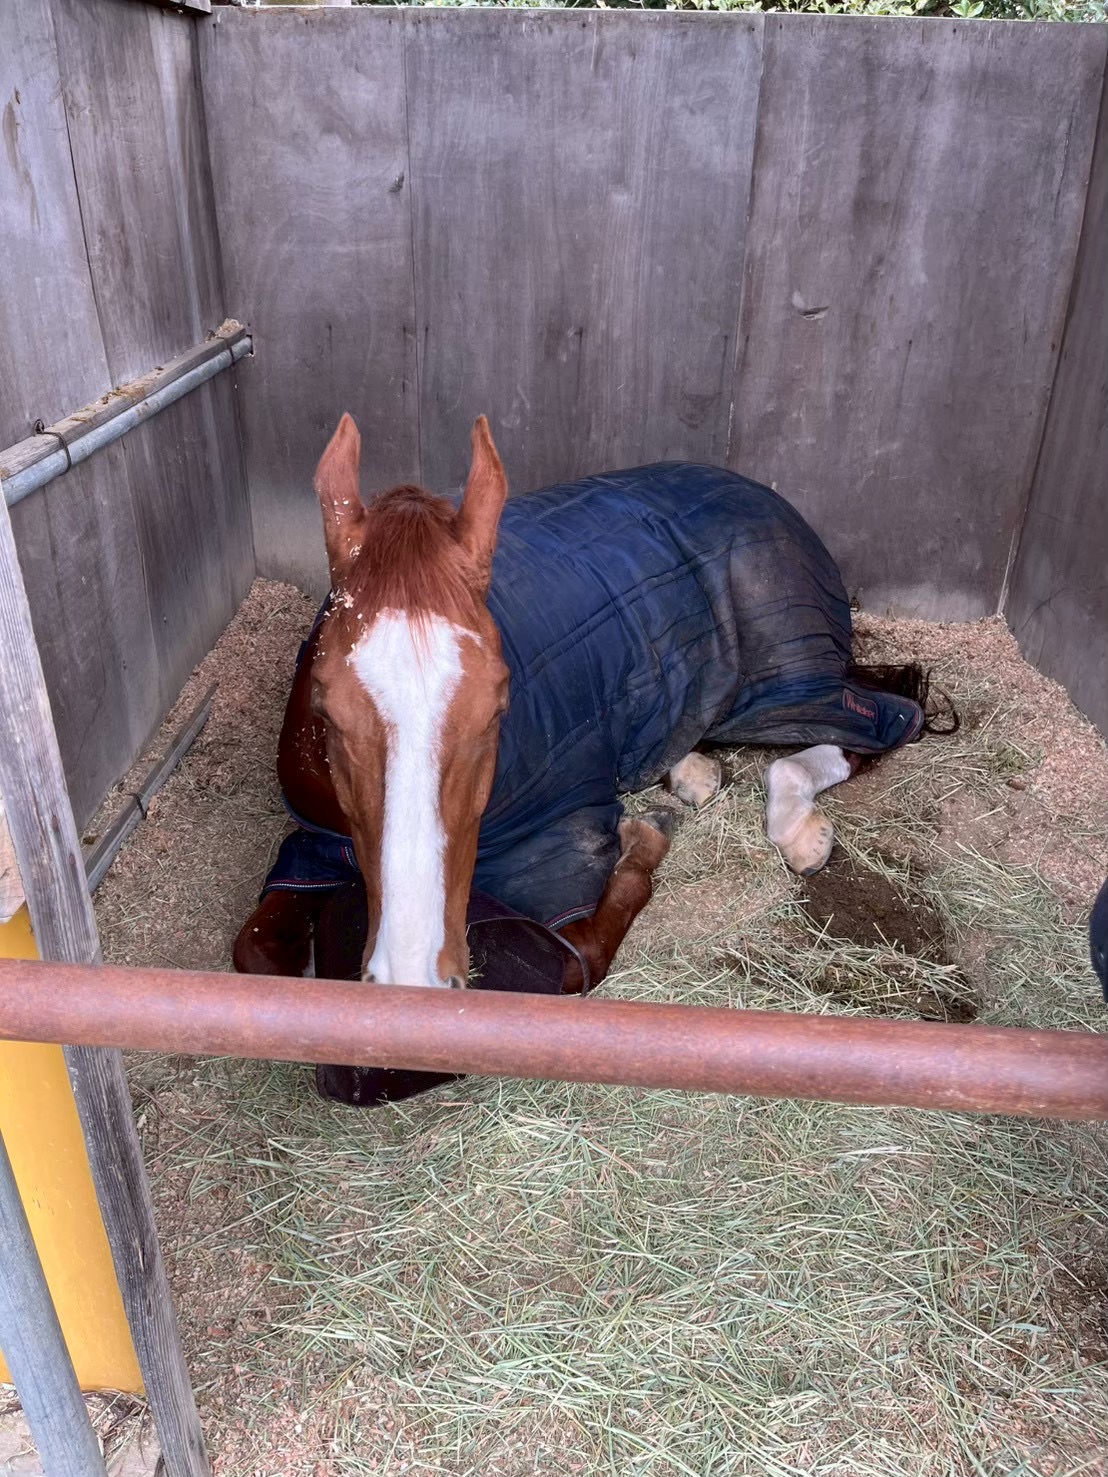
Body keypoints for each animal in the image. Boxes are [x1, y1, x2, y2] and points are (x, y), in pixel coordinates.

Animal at [234, 412, 950, 1035]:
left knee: (882, 721)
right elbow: (254, 957)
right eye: (325, 708)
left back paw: (800, 826)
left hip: (784, 678)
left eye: (500, 704)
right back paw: (688, 769)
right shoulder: (315, 845)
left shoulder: (564, 852)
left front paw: (644, 838)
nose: (414, 976)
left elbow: (577, 959)